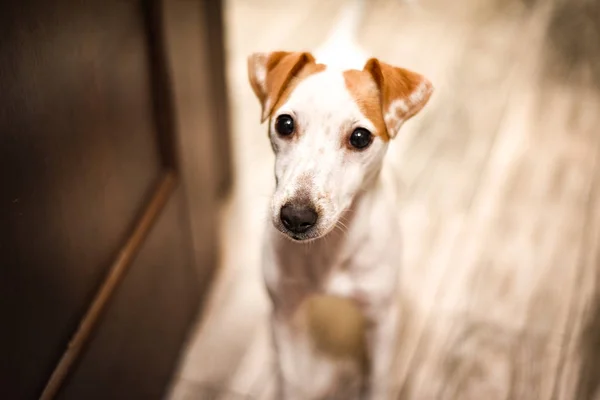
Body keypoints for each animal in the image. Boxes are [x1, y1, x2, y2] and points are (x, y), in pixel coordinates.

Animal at [246, 1, 434, 398]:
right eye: (284, 124)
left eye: (360, 137)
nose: (296, 216)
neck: (328, 252)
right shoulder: (285, 313)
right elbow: (292, 379)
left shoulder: (382, 319)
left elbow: (379, 380)